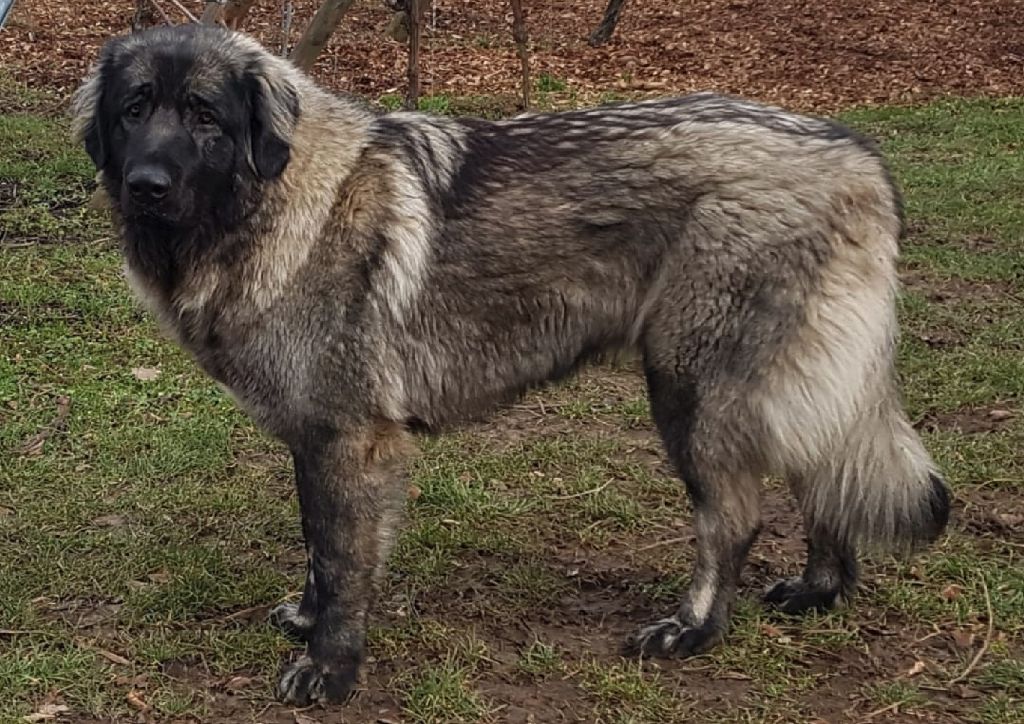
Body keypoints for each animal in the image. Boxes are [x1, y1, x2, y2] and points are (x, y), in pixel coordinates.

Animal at [72, 24, 950, 708]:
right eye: (134, 110)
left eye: (205, 115)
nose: (146, 185)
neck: (285, 201)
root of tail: (854, 154)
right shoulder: (318, 439)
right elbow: (323, 548)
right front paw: (311, 619)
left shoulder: (347, 440)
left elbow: (342, 558)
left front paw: (331, 667)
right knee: (821, 465)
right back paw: (820, 590)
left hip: (692, 390)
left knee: (733, 517)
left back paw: (694, 628)